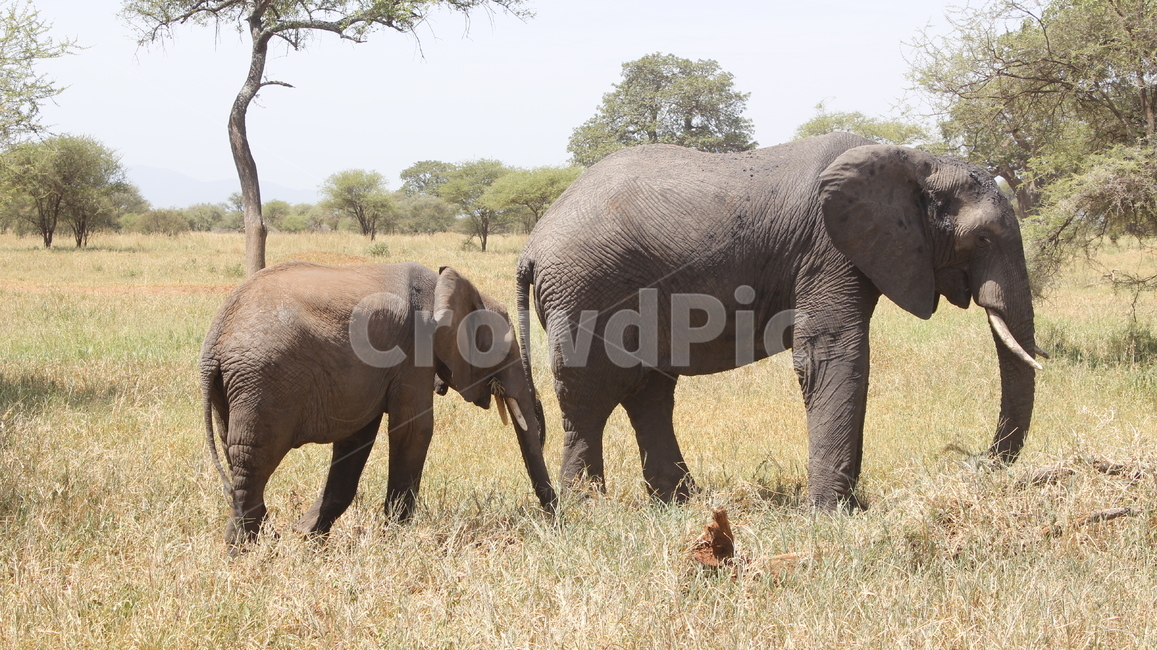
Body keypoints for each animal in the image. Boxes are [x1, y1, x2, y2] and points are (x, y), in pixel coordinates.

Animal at [200, 261, 555, 548]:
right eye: (506, 351)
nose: (555, 519)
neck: (443, 284)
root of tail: (215, 339)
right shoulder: (414, 348)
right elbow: (414, 430)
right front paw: (395, 538)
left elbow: (356, 440)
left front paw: (307, 537)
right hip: (263, 380)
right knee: (253, 459)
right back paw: (246, 553)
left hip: (236, 387)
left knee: (237, 456)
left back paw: (262, 542)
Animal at [515, 132, 1045, 509]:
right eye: (981, 239)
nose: (975, 462)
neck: (916, 159)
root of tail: (532, 245)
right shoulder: (828, 249)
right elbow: (831, 354)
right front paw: (831, 514)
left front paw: (848, 505)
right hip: (587, 289)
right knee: (589, 399)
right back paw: (589, 512)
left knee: (649, 393)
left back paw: (680, 505)